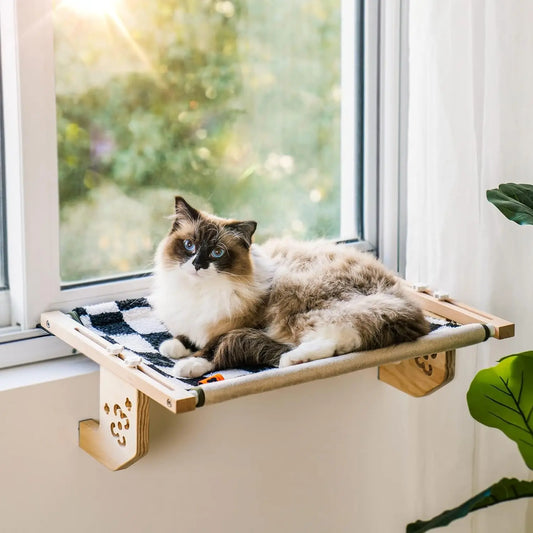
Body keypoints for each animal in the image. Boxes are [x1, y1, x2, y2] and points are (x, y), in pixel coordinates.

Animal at [150, 196, 428, 378]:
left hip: (303, 309)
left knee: (339, 339)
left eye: (217, 253)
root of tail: (409, 308)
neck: (199, 292)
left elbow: (212, 347)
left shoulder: (246, 325)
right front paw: (174, 346)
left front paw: (188, 364)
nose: (197, 265)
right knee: (345, 342)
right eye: (189, 246)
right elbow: (187, 337)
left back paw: (291, 359)